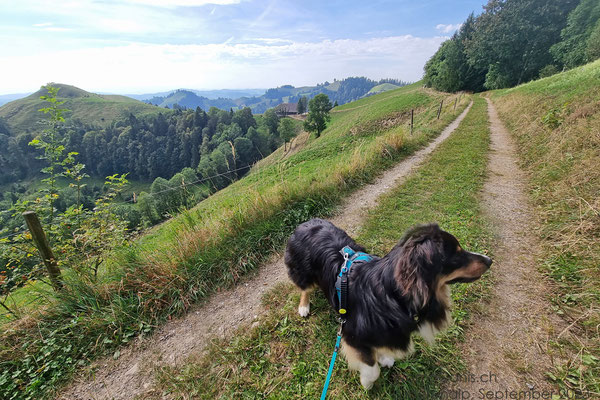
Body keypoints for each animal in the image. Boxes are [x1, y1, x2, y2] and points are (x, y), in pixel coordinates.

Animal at [284, 217, 490, 390]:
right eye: (456, 256)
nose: (490, 260)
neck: (392, 295)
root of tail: (306, 222)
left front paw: (384, 357)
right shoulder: (352, 335)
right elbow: (372, 369)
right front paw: (367, 382)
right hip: (302, 271)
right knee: (304, 288)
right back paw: (304, 306)